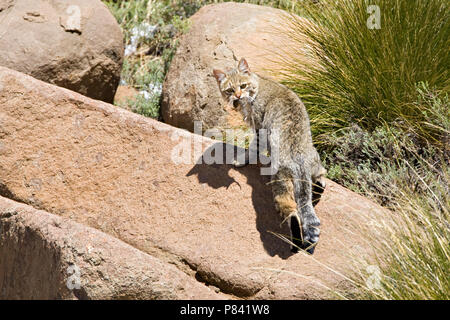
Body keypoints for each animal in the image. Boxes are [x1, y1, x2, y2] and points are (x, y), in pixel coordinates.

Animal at [213, 58, 326, 254]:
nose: (237, 96)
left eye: (243, 85)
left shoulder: (260, 128)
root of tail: (300, 160)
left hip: (280, 182)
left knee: (292, 211)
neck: (257, 86)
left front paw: (242, 160)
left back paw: (295, 242)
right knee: (320, 178)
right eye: (229, 90)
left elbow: (253, 148)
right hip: (315, 160)